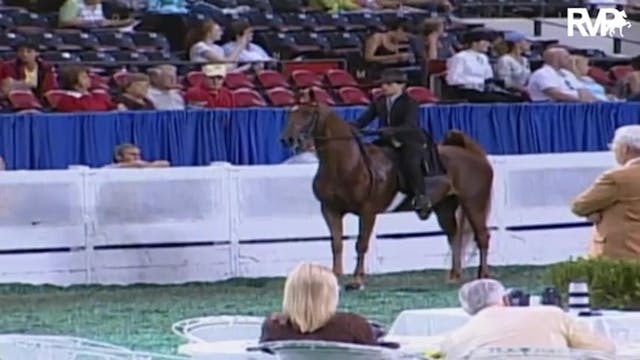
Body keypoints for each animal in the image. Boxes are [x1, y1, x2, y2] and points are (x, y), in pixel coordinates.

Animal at [282, 102, 496, 290]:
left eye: (307, 113)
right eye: (291, 113)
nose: (287, 139)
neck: (347, 164)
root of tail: (474, 155)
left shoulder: (367, 212)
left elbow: (361, 244)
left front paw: (357, 281)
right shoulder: (330, 211)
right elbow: (336, 244)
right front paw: (334, 278)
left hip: (474, 204)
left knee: (482, 236)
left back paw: (483, 276)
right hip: (445, 208)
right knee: (454, 236)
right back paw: (454, 276)